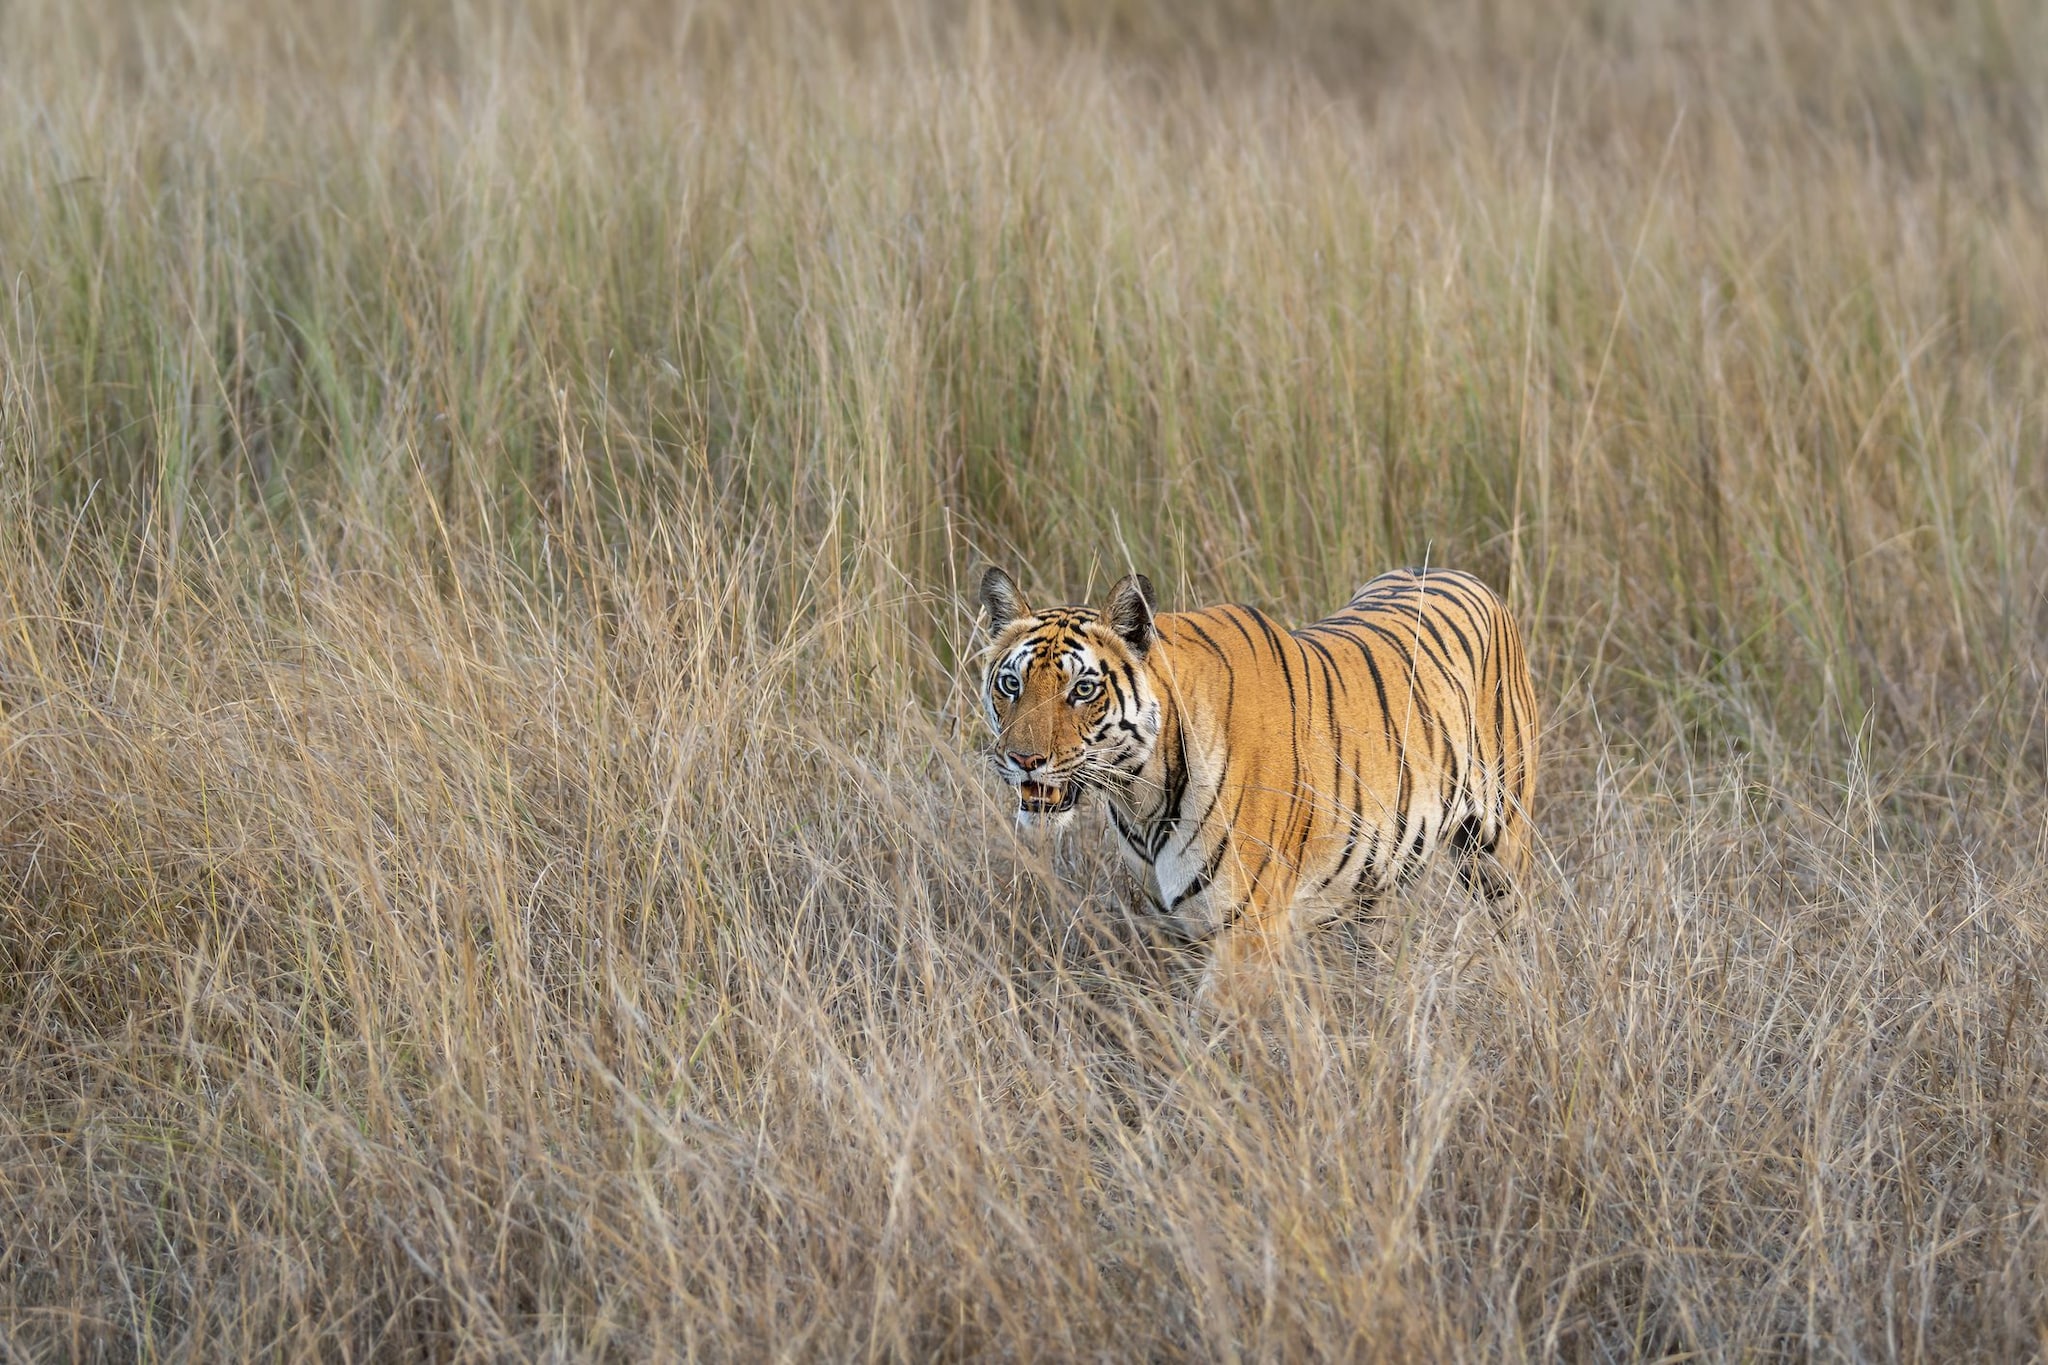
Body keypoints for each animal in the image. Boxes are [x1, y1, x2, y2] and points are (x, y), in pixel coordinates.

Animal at [976, 564, 1538, 1002]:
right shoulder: (1172, 926)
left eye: (1083, 690)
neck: (1140, 795)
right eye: (1012, 684)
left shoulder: (1246, 929)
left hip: (1499, 846)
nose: (1023, 759)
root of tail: (1460, 573)